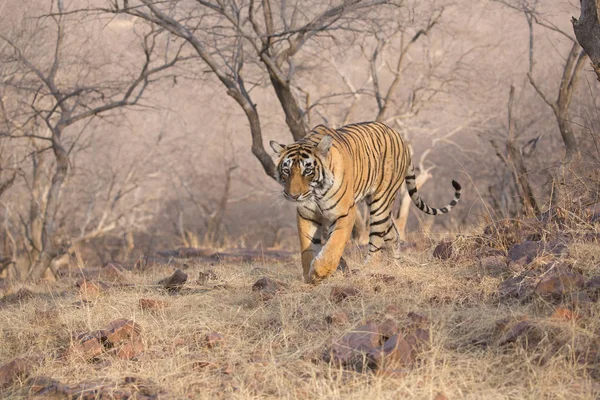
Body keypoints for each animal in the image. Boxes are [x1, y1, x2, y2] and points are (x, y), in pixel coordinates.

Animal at [270, 120, 462, 282]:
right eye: (286, 170)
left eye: (307, 171)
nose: (293, 196)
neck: (316, 193)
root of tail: (400, 137)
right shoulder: (306, 215)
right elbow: (307, 248)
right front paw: (309, 276)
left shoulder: (345, 213)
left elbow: (334, 245)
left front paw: (320, 271)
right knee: (393, 234)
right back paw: (396, 266)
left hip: (380, 202)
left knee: (377, 240)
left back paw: (368, 269)